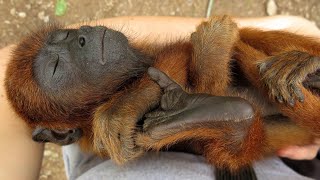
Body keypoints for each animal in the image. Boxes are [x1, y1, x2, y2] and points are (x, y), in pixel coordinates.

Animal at [3, 16, 320, 172]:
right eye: (55, 68)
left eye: (65, 36)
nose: (84, 35)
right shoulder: (92, 140)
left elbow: (178, 51)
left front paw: (123, 107)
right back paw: (223, 116)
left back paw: (306, 67)